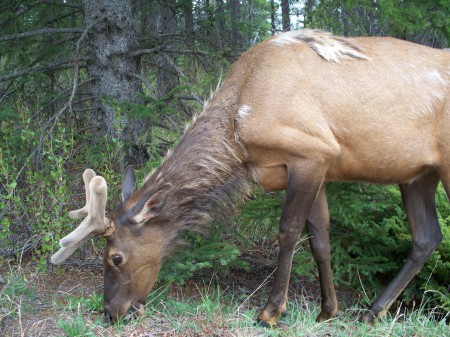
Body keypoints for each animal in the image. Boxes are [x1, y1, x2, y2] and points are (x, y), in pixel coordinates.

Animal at [51, 29, 448, 326]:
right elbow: (320, 238)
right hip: (418, 175)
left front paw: (270, 312)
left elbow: (288, 231)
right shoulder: (317, 166)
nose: (111, 312)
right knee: (427, 236)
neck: (238, 134)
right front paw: (327, 311)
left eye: (115, 257)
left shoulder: (312, 152)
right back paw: (372, 311)